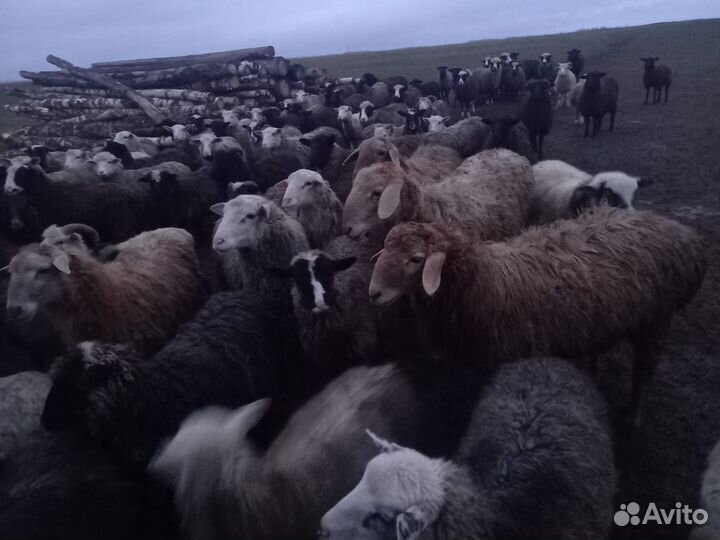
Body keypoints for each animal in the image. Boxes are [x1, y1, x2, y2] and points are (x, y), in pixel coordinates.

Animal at [368, 208, 706, 422]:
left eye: (416, 259)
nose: (373, 293)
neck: (485, 280)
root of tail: (684, 236)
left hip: (656, 320)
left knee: (643, 372)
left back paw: (632, 416)